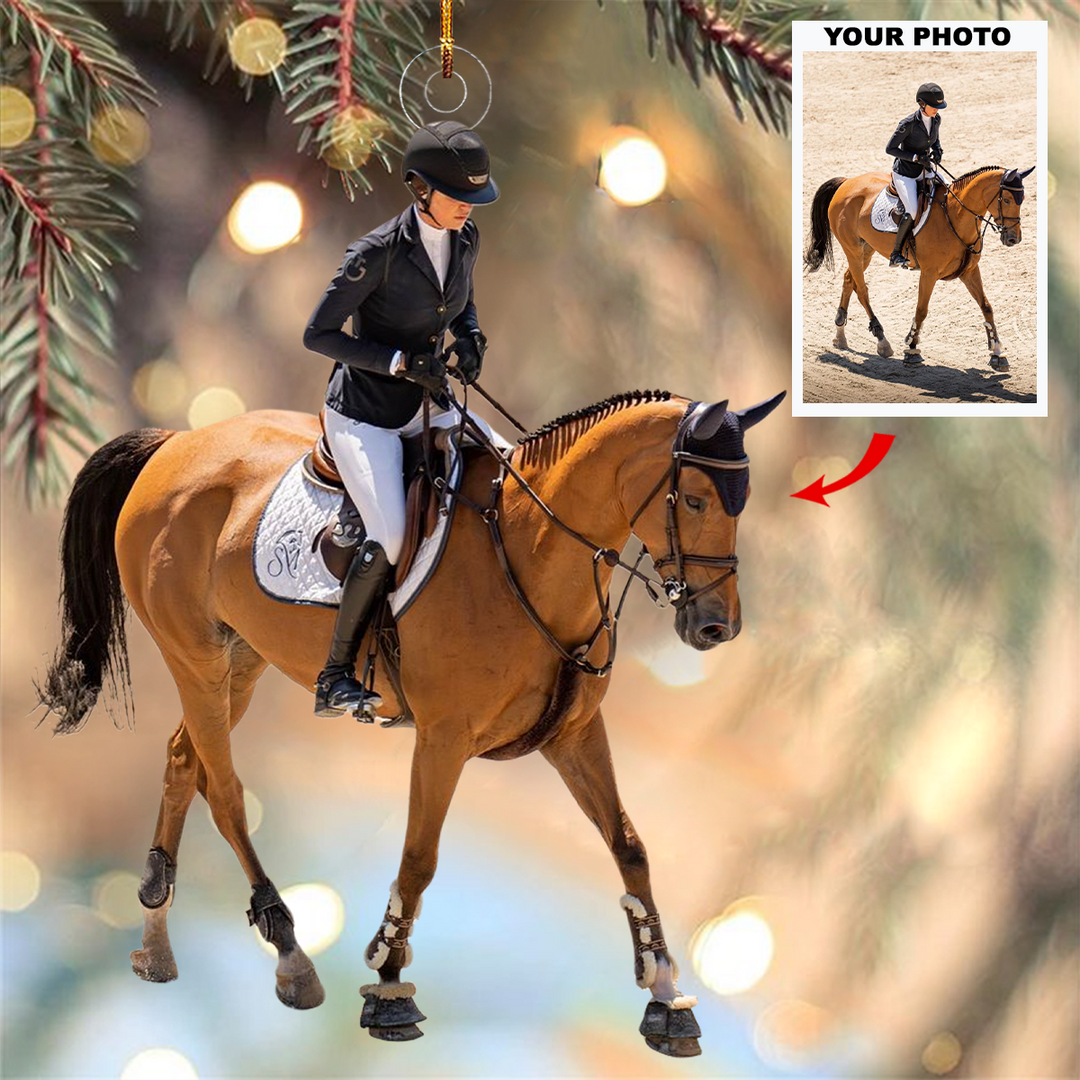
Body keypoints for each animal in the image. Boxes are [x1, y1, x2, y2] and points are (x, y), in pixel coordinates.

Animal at [38, 386, 785, 1055]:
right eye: (695, 500)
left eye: (742, 502)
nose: (716, 627)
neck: (532, 554)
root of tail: (177, 443)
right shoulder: (443, 739)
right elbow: (418, 862)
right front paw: (390, 990)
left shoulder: (574, 736)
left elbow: (629, 847)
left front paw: (665, 996)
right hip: (193, 656)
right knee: (222, 790)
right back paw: (289, 952)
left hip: (239, 661)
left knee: (181, 760)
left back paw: (155, 939)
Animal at [804, 165, 1034, 369]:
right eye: (1006, 200)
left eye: (1022, 200)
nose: (1014, 239)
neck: (956, 217)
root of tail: (846, 182)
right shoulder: (929, 273)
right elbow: (921, 310)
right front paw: (912, 349)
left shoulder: (969, 272)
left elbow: (986, 307)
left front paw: (997, 353)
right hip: (852, 250)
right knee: (861, 290)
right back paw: (881, 340)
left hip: (866, 250)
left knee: (848, 279)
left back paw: (840, 335)